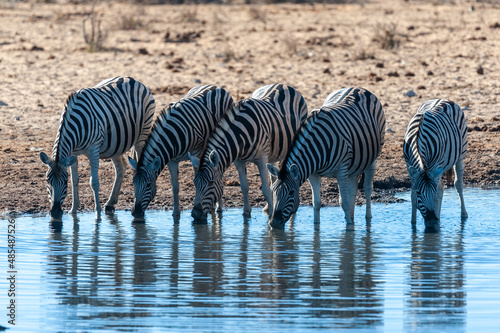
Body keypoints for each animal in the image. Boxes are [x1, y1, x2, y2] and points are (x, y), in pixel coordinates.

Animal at [39, 76, 154, 219]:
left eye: (64, 182)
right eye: (47, 180)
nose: (55, 212)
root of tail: (132, 79)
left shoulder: (93, 149)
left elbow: (93, 182)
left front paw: (97, 213)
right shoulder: (72, 153)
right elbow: (75, 180)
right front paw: (73, 210)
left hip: (142, 134)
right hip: (116, 143)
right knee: (121, 167)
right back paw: (110, 203)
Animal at [127, 84, 232, 218]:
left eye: (148, 185)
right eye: (133, 184)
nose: (135, 212)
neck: (171, 135)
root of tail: (216, 86)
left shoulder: (196, 152)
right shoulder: (171, 160)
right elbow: (175, 188)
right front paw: (176, 214)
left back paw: (218, 207)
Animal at [189, 83, 308, 219]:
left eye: (210, 183)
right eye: (194, 183)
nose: (195, 214)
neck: (240, 135)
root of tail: (282, 84)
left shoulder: (262, 159)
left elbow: (265, 189)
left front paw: (271, 215)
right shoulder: (239, 161)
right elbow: (244, 186)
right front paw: (246, 212)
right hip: (273, 152)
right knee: (274, 178)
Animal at [268, 86, 384, 228]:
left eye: (291, 192)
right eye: (273, 191)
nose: (273, 223)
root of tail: (357, 88)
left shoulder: (341, 170)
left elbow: (343, 202)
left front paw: (349, 228)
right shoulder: (313, 174)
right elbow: (316, 203)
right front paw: (316, 227)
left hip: (372, 158)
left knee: (367, 188)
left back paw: (367, 218)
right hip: (353, 165)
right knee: (353, 187)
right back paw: (352, 217)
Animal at [402, 99, 468, 228]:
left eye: (434, 194)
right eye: (419, 194)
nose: (432, 221)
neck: (418, 141)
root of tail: (443, 99)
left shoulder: (436, 165)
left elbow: (438, 189)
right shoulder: (410, 166)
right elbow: (412, 195)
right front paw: (413, 224)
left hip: (460, 154)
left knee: (457, 184)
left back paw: (463, 214)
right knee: (443, 185)